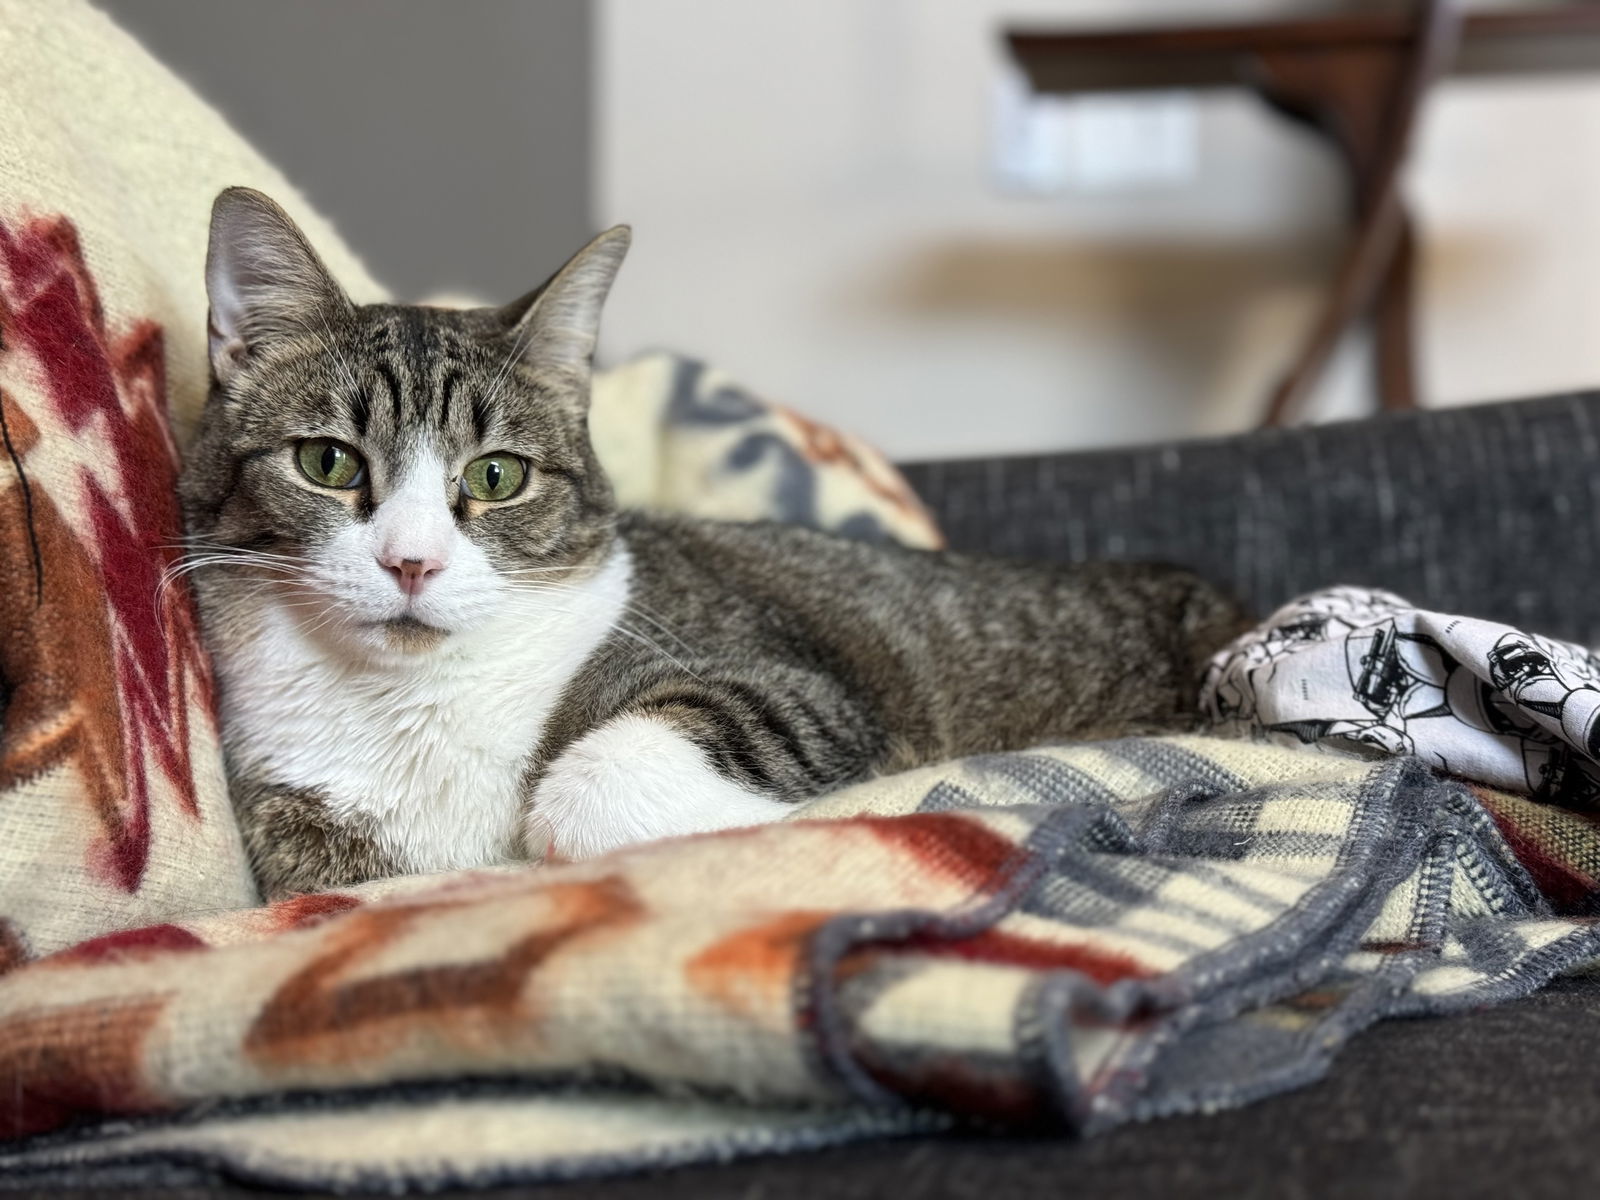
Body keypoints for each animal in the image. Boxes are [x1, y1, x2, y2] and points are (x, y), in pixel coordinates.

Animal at [178, 185, 1248, 902]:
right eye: (327, 461)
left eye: (495, 477)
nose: (412, 561)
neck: (412, 706)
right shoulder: (296, 824)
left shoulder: (798, 688)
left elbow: (590, 790)